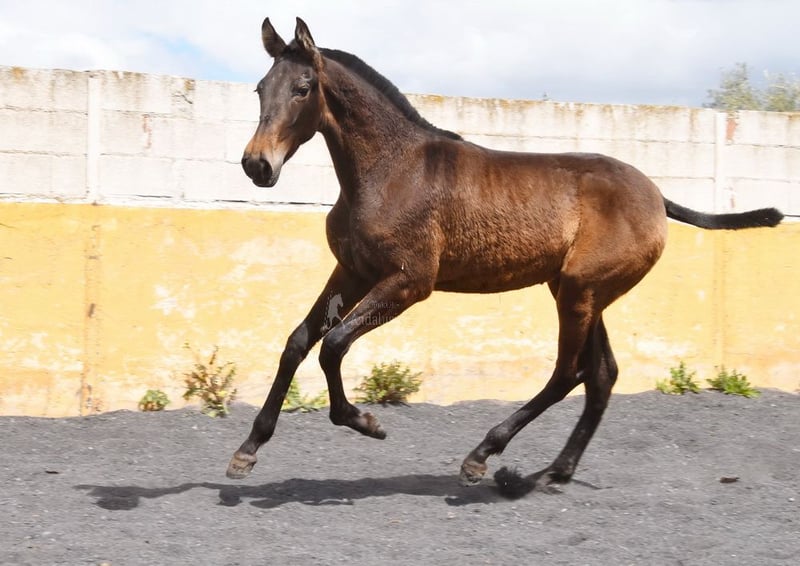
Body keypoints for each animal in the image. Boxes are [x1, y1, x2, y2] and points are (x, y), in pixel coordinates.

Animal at [228, 17, 783, 497]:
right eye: (259, 88)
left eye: (302, 88)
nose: (258, 165)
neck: (390, 169)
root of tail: (657, 197)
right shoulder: (353, 271)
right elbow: (298, 343)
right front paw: (246, 451)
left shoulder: (409, 282)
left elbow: (334, 344)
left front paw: (366, 422)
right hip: (581, 291)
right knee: (601, 374)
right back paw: (549, 473)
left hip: (580, 292)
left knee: (569, 373)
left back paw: (483, 458)